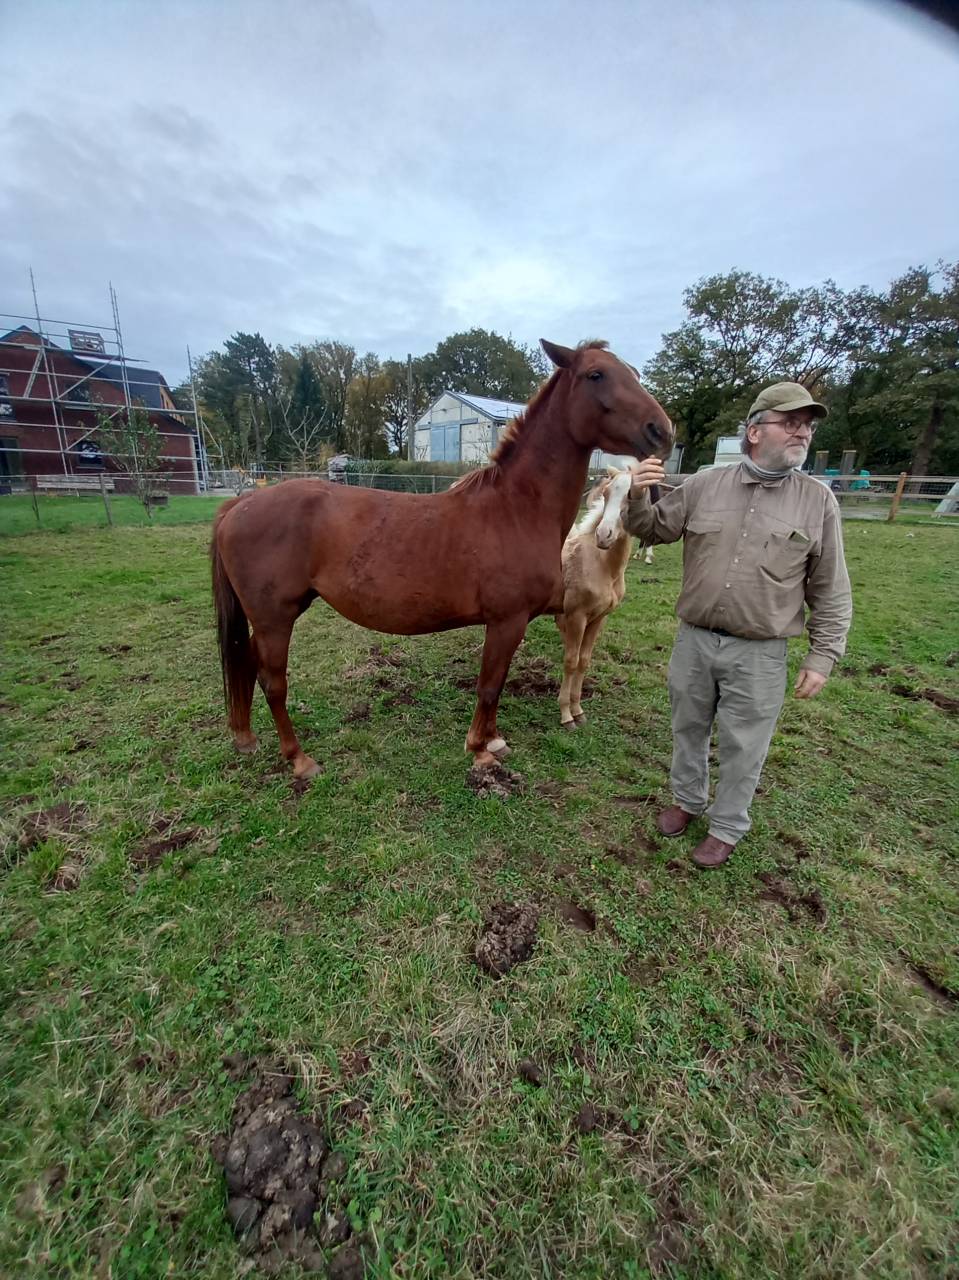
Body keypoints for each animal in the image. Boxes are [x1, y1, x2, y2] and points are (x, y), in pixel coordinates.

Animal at [555, 466, 635, 729]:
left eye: (634, 494)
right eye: (606, 492)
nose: (604, 535)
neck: (602, 565)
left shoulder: (599, 618)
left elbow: (583, 659)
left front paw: (578, 710)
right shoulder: (577, 616)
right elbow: (570, 661)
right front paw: (566, 715)